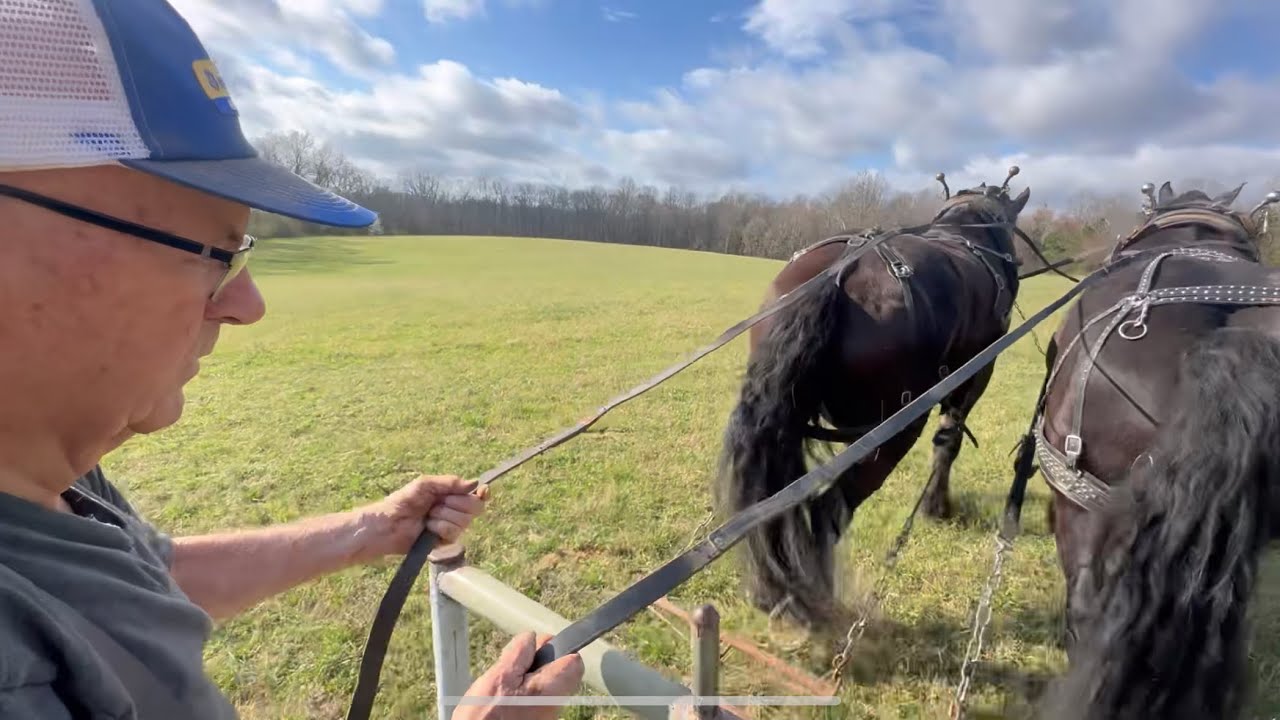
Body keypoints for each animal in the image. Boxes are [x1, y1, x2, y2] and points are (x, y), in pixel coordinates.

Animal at [713, 168, 1032, 630]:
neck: (966, 232)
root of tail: (835, 278)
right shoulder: (975, 375)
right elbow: (949, 441)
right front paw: (937, 507)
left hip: (787, 420)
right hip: (894, 426)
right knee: (830, 508)